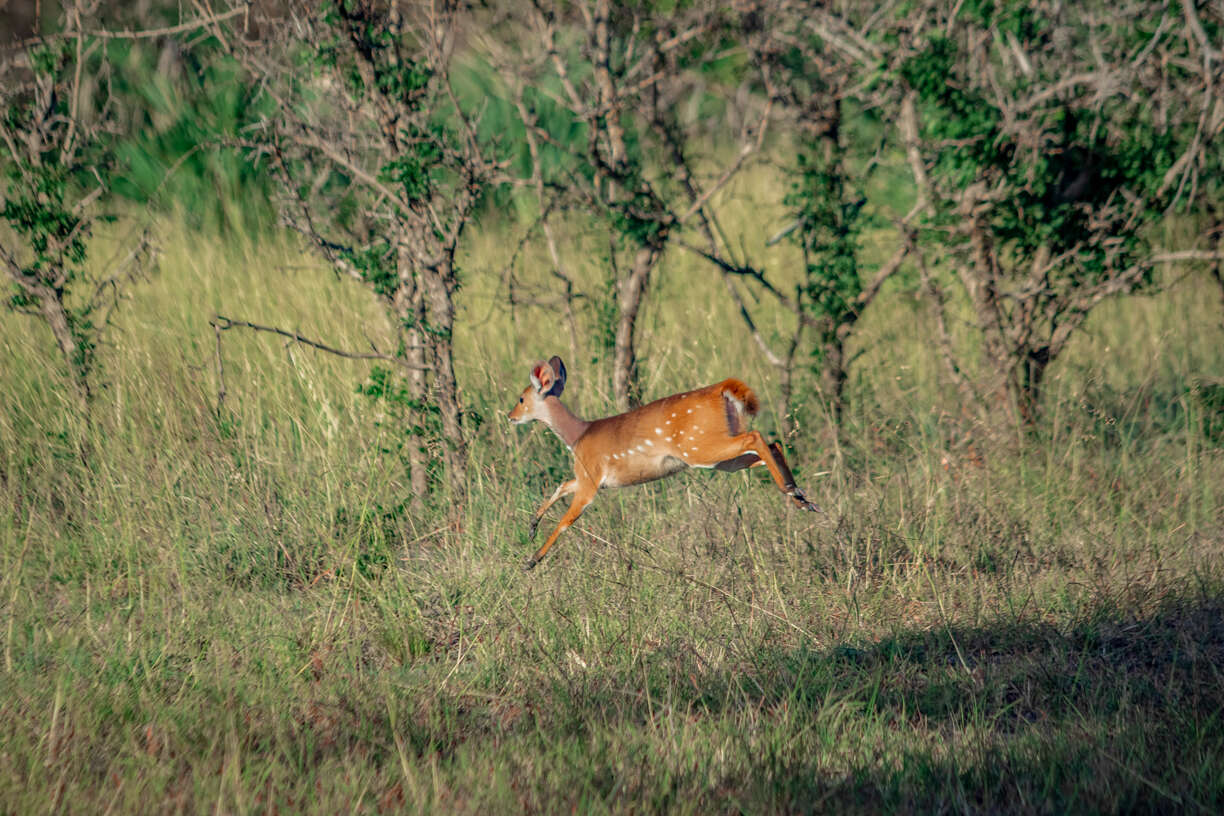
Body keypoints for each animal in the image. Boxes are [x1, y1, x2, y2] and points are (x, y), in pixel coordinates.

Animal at [506, 354, 822, 572]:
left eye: (521, 398)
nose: (510, 416)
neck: (577, 436)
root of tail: (722, 389)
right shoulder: (589, 479)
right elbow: (561, 485)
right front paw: (531, 527)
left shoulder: (591, 481)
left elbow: (566, 521)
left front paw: (531, 560)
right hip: (718, 458)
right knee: (772, 444)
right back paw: (802, 498)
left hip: (699, 447)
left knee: (756, 437)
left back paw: (793, 492)